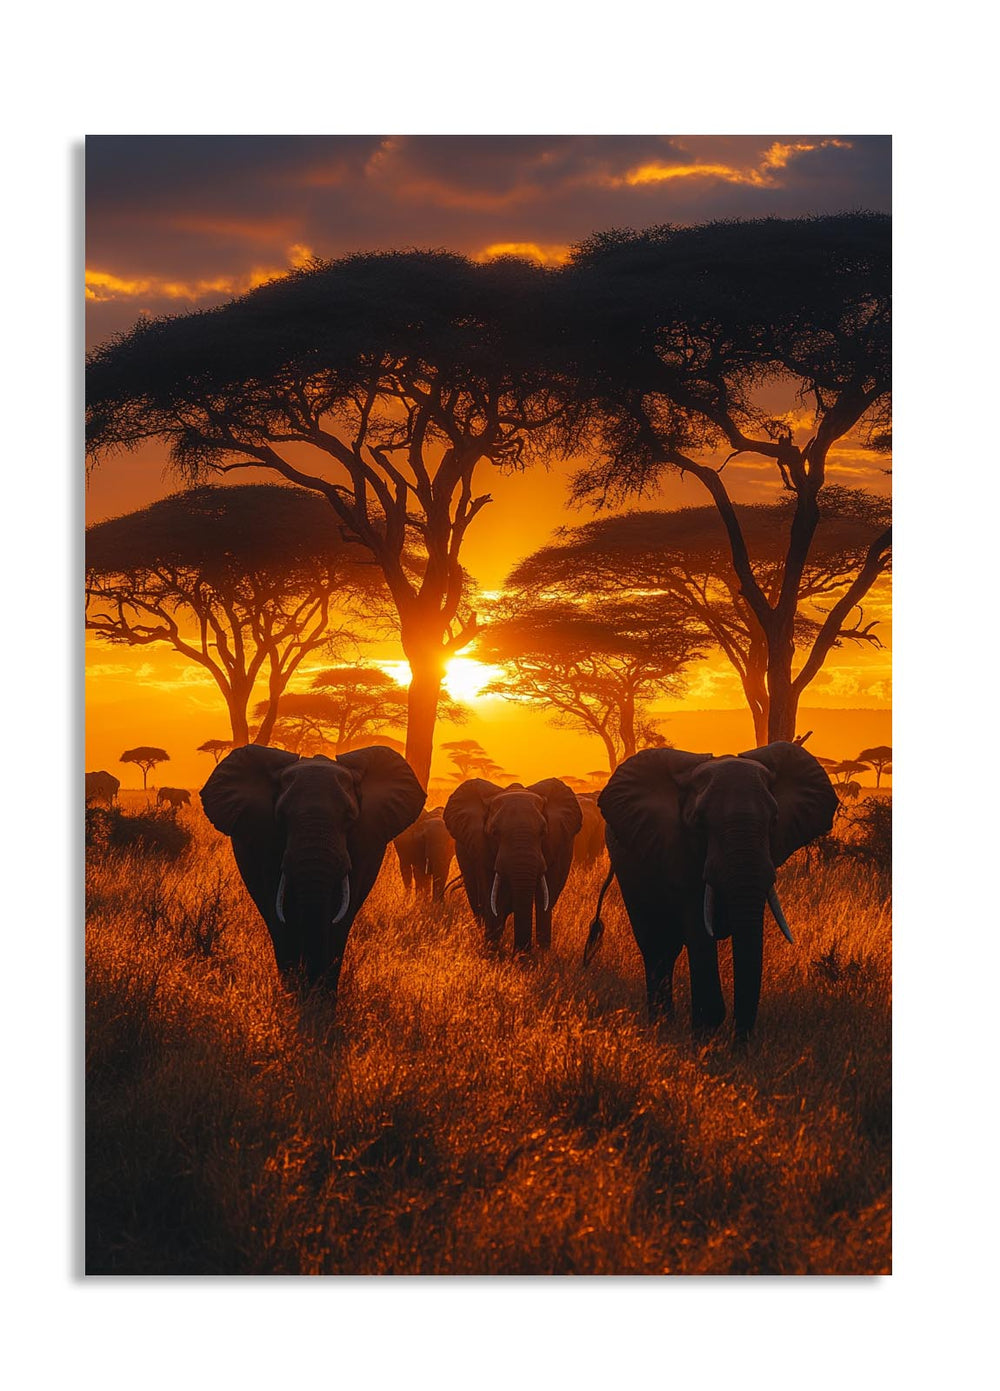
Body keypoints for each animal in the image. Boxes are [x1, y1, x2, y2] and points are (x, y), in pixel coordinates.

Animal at [201, 744, 426, 992]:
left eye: (350, 817)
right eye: (281, 817)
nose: (310, 982)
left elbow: (340, 916)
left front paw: (322, 996)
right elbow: (281, 913)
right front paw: (295, 994)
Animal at [443, 778, 583, 950]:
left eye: (543, 832)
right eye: (494, 833)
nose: (521, 952)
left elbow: (545, 901)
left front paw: (540, 955)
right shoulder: (480, 848)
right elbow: (492, 900)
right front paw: (493, 953)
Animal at [585, 742, 837, 1040]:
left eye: (774, 821)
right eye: (699, 823)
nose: (739, 1042)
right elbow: (698, 930)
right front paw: (706, 1034)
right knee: (657, 946)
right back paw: (661, 1027)